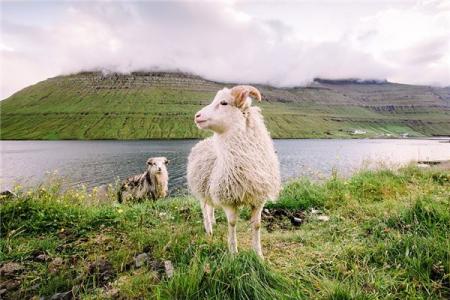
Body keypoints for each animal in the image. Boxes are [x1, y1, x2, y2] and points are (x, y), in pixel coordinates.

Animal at [187, 85, 282, 258]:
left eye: (224, 103)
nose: (197, 116)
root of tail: (204, 141)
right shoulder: (228, 198)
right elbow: (232, 223)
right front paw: (233, 252)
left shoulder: (259, 198)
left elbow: (257, 225)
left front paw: (258, 254)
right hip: (202, 189)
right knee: (204, 209)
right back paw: (209, 229)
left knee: (210, 208)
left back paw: (213, 222)